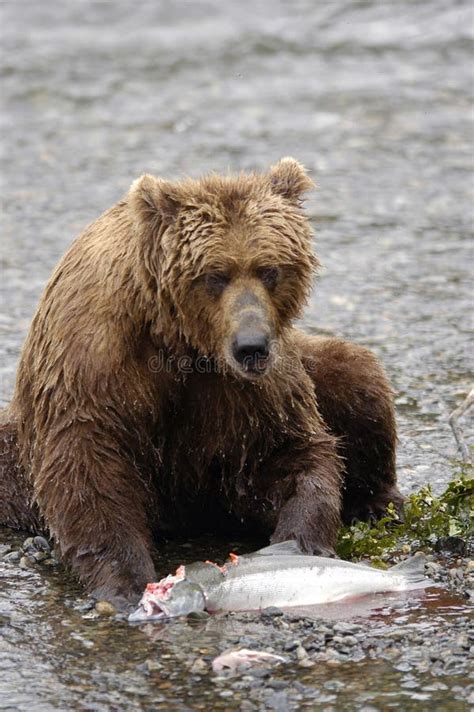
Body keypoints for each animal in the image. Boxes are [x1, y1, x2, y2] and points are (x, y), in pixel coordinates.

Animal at [0, 160, 402, 608]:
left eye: (270, 270)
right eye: (215, 275)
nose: (251, 346)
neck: (180, 340)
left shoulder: (250, 392)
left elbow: (288, 450)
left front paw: (301, 542)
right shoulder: (94, 363)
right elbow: (87, 464)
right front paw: (125, 580)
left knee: (357, 378)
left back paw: (375, 502)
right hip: (15, 458)